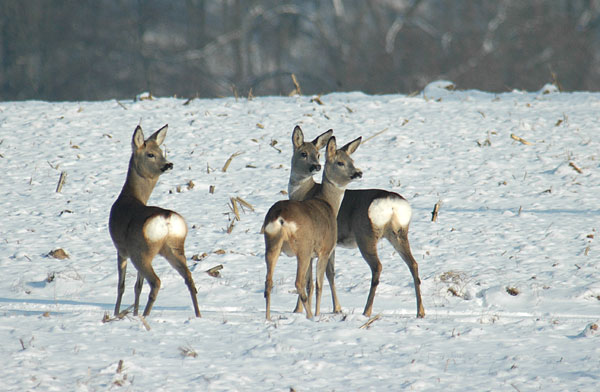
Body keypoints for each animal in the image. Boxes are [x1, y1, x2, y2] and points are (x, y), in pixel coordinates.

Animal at [109, 125, 200, 318]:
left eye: (161, 152)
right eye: (151, 154)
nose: (168, 164)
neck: (129, 197)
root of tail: (167, 219)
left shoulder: (121, 249)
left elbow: (122, 286)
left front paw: (117, 313)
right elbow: (137, 286)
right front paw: (133, 312)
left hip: (142, 251)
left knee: (156, 282)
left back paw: (145, 316)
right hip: (174, 247)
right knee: (189, 278)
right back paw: (198, 315)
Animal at [262, 136, 360, 320]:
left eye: (353, 160)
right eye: (340, 162)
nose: (358, 173)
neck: (328, 203)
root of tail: (280, 217)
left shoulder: (314, 255)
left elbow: (311, 285)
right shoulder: (324, 250)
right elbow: (319, 284)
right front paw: (318, 313)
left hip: (272, 244)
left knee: (269, 281)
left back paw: (268, 318)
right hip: (303, 247)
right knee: (298, 282)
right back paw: (310, 317)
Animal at [288, 125, 424, 318]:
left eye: (318, 154)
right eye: (304, 153)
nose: (315, 166)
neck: (305, 193)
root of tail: (392, 205)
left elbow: (311, 278)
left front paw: (297, 310)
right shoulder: (332, 244)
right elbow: (330, 273)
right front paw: (337, 308)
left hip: (366, 235)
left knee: (377, 267)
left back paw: (367, 311)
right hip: (399, 233)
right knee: (413, 264)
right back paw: (420, 311)